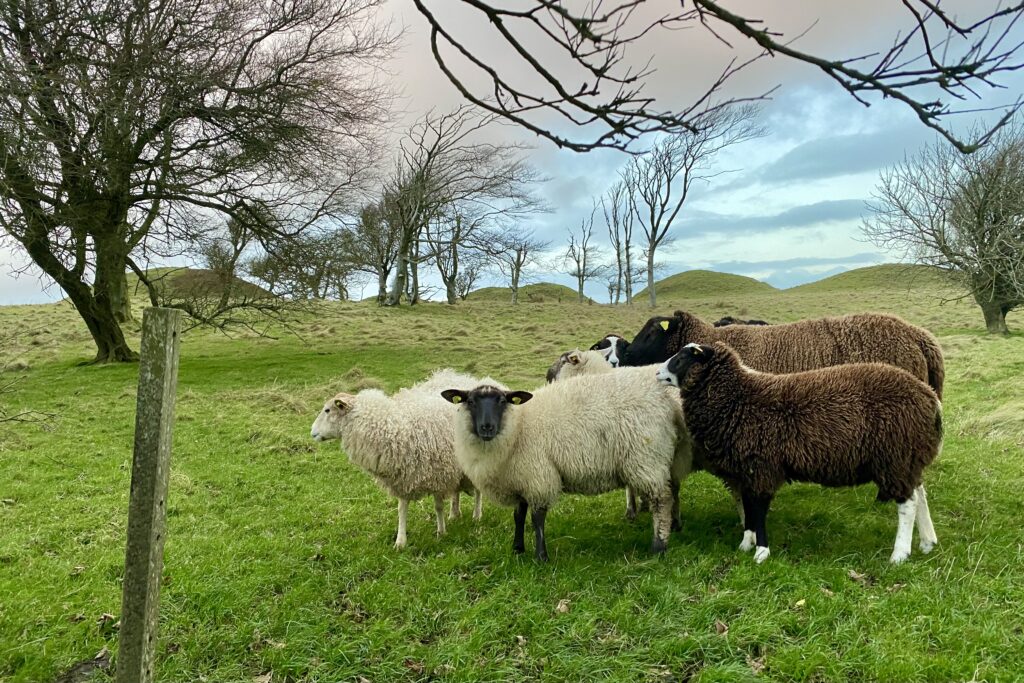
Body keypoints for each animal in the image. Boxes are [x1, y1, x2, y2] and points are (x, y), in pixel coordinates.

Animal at [309, 368, 489, 548]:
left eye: (327, 410)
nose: (312, 432)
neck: (393, 428)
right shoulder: (403, 477)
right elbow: (401, 509)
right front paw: (400, 541)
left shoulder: (438, 473)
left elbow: (438, 507)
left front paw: (441, 532)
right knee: (456, 491)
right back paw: (454, 513)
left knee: (478, 490)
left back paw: (477, 515)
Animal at [442, 370, 692, 565]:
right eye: (470, 402)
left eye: (502, 402)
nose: (487, 427)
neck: (519, 427)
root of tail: (666, 401)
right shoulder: (522, 478)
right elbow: (518, 516)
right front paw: (517, 549)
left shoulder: (539, 476)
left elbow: (537, 519)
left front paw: (541, 557)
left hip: (647, 458)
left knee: (661, 501)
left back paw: (659, 546)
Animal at [655, 344, 942, 565]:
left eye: (682, 358)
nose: (657, 372)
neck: (739, 398)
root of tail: (930, 398)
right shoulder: (746, 471)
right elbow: (748, 508)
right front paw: (745, 544)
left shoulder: (762, 466)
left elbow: (758, 509)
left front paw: (761, 552)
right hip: (908, 458)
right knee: (920, 493)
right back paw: (927, 542)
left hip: (895, 456)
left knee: (908, 503)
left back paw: (899, 554)